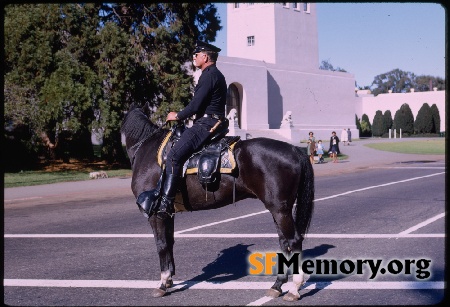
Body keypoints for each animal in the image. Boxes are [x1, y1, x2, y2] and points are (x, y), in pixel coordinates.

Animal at [121, 106, 314, 300]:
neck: (148, 150)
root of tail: (294, 149)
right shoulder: (168, 213)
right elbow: (169, 242)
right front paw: (168, 280)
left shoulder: (155, 214)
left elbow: (161, 244)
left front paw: (163, 283)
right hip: (278, 209)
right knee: (284, 242)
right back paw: (277, 285)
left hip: (280, 210)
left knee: (294, 240)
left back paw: (294, 288)